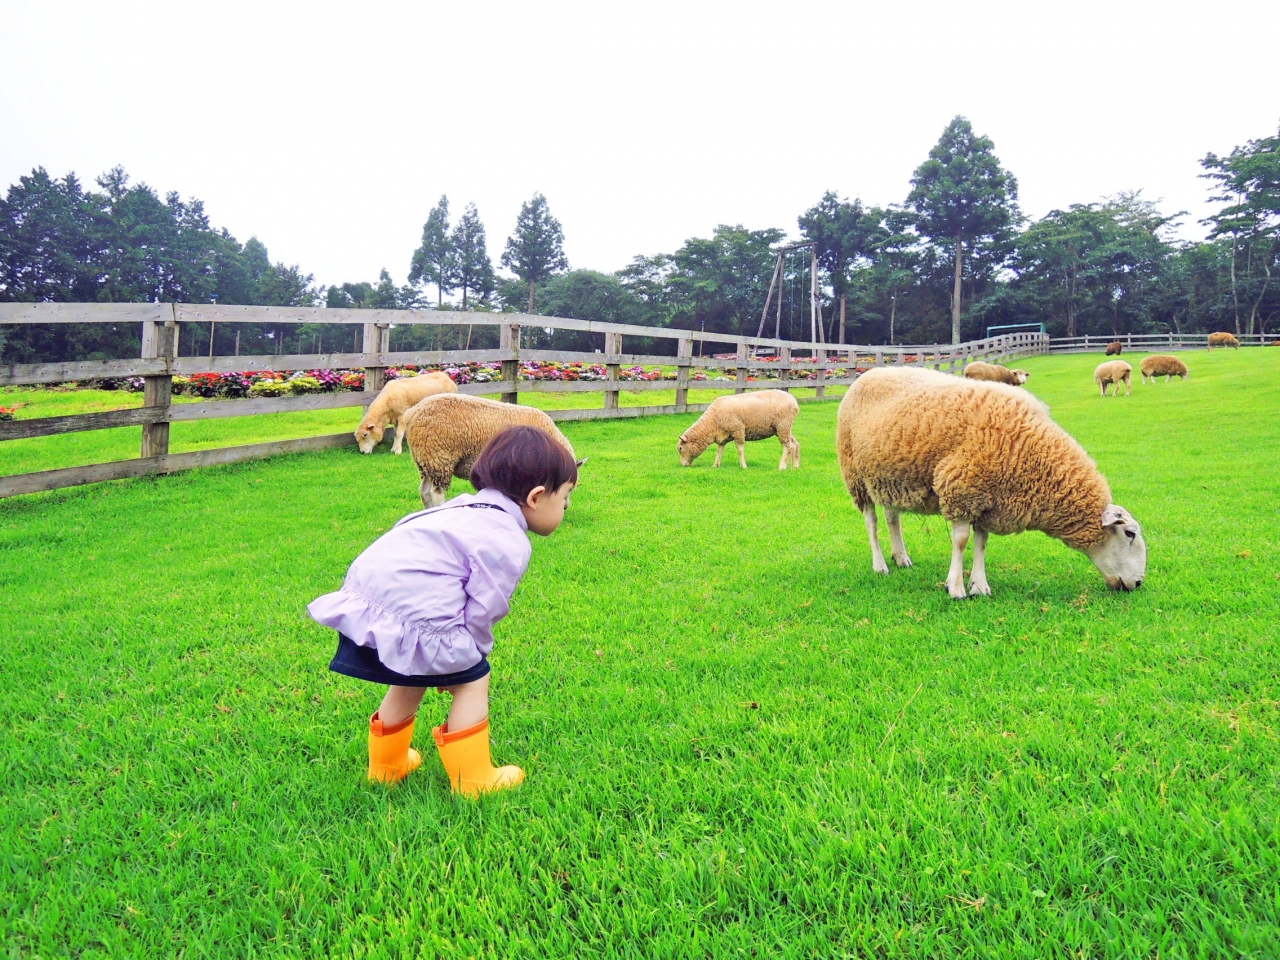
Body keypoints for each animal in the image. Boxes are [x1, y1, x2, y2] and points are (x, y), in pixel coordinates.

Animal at [404, 391, 581, 512]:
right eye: (569, 488)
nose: (565, 507)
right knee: (436, 493)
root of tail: (411, 414)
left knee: (424, 491)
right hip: (440, 457)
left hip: (425, 461)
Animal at [834, 368, 1146, 601]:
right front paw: (956, 588)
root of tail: (867, 373)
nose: (1139, 583)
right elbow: (961, 541)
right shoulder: (962, 489)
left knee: (892, 519)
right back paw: (880, 565)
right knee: (872, 522)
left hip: (888, 478)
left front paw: (980, 586)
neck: (1029, 453)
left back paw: (901, 558)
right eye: (1129, 533)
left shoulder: (988, 500)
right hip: (856, 477)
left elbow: (981, 543)